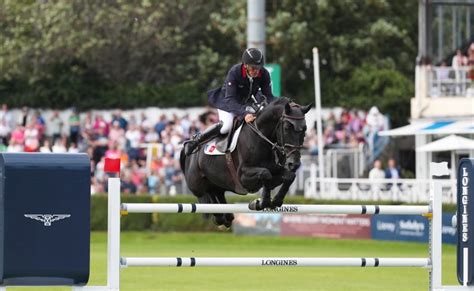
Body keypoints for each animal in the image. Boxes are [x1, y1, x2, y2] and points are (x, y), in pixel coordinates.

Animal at [179, 98, 312, 228]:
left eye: (305, 129)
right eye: (286, 128)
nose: (294, 163)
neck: (262, 138)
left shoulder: (276, 169)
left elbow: (289, 176)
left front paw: (275, 201)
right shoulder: (243, 176)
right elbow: (265, 174)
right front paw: (261, 202)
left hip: (218, 182)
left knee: (216, 192)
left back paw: (226, 217)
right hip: (196, 184)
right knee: (204, 195)